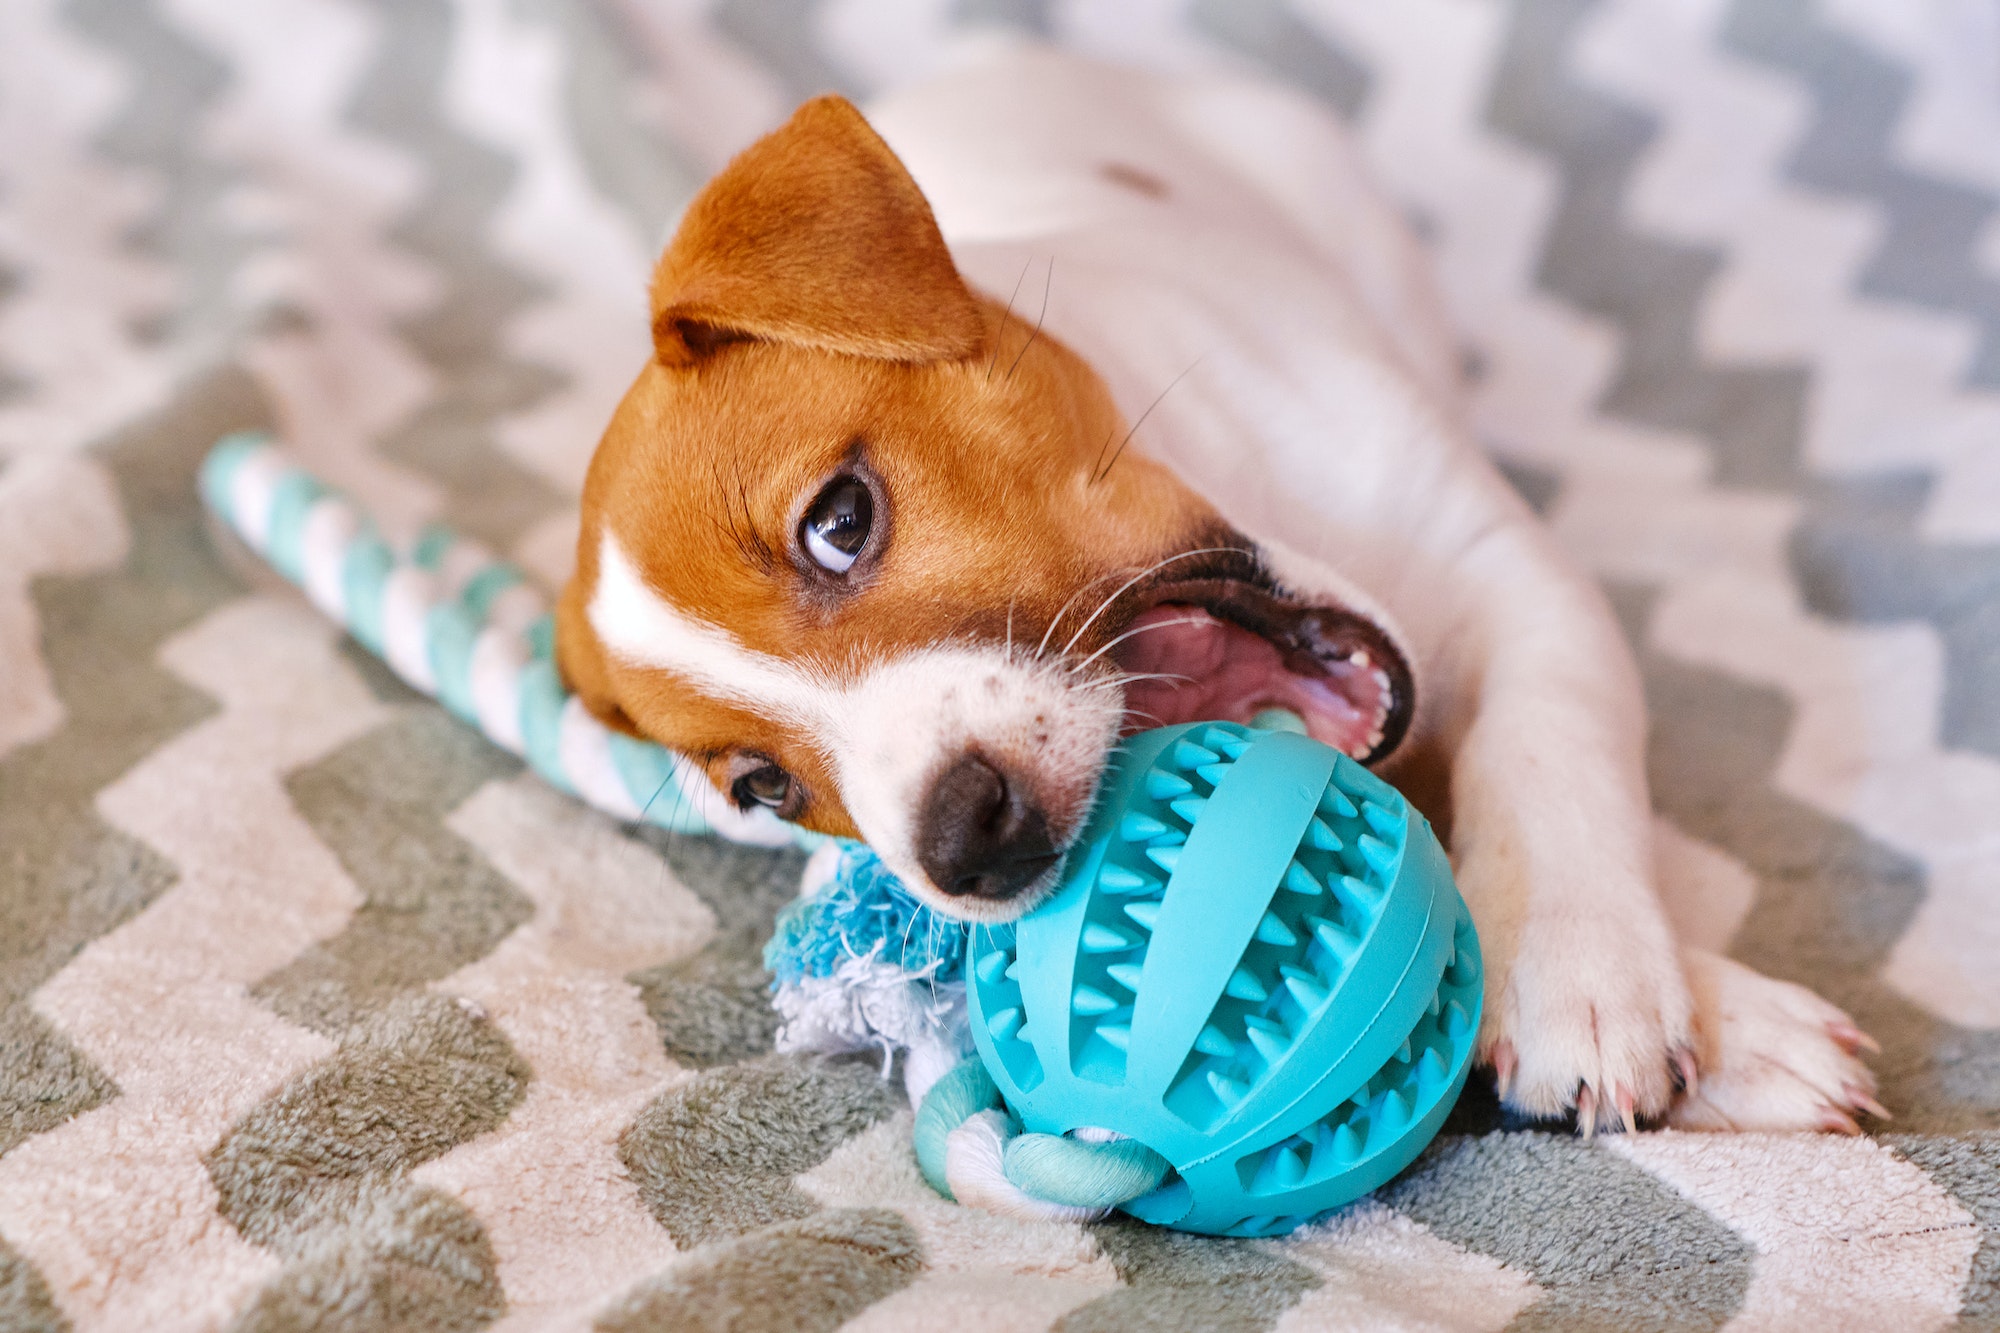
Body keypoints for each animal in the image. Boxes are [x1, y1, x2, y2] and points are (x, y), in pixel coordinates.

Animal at [556, 46, 1880, 1136]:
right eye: (761, 787)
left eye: (839, 521)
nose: (967, 847)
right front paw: (1725, 1026)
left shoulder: (1512, 573)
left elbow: (1542, 748)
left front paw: (1585, 973)